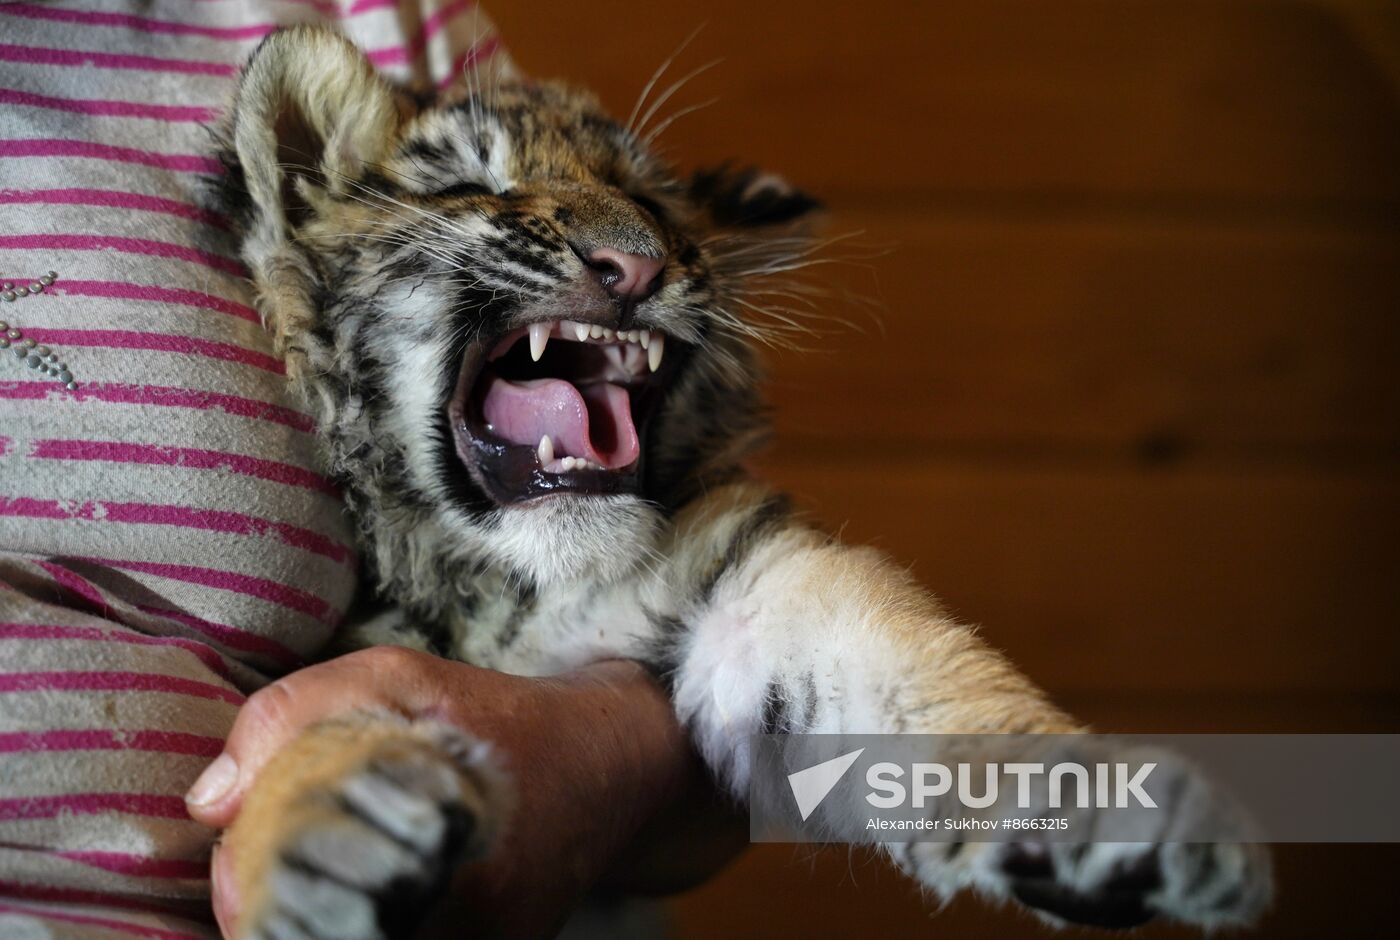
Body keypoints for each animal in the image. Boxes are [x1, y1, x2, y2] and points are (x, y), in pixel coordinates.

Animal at [212, 25, 1271, 940]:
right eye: (475, 183)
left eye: (654, 206)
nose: (633, 263)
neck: (506, 583)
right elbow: (311, 718)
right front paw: (331, 830)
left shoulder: (747, 585)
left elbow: (916, 671)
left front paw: (1100, 803)